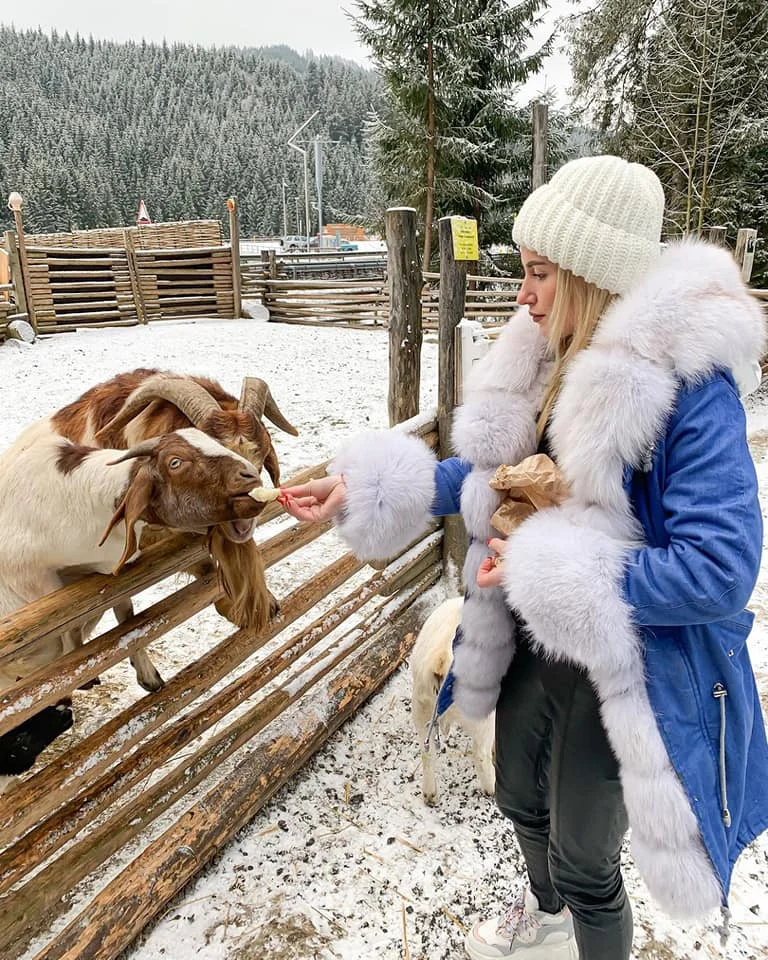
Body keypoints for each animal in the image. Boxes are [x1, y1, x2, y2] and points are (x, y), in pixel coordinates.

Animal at [410, 597, 495, 804]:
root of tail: (440, 659)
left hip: (421, 711)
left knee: (426, 752)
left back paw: (430, 795)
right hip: (483, 719)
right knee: (480, 754)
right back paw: (492, 787)